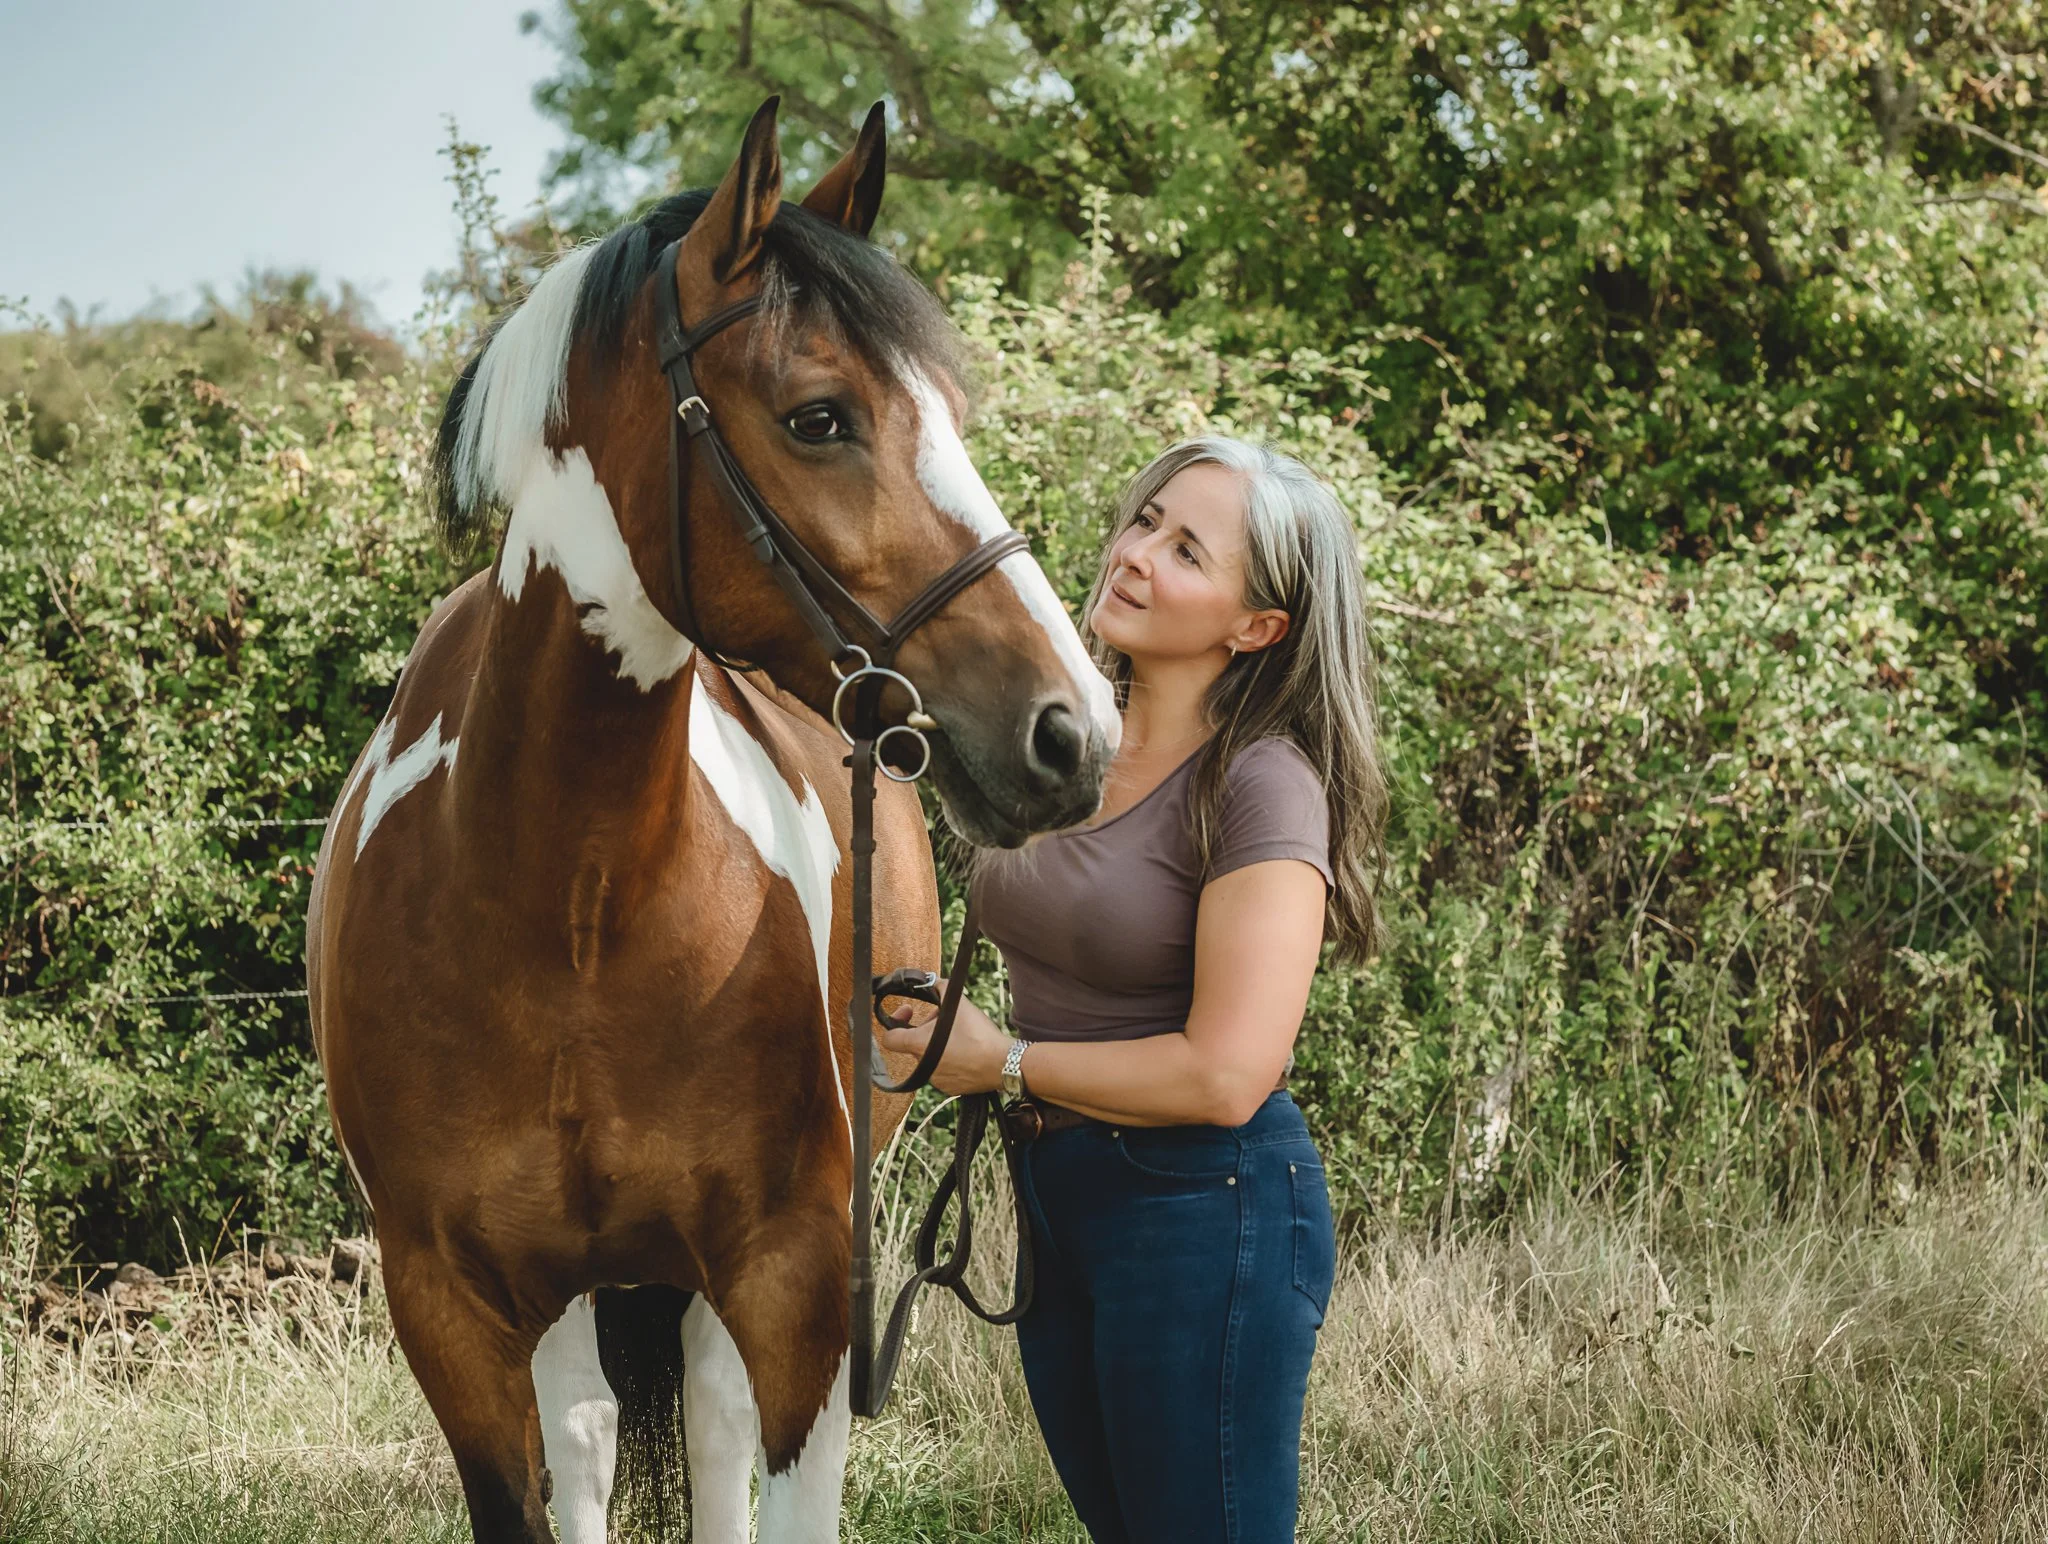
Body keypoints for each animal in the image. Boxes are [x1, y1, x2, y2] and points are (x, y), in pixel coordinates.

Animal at [305, 97, 1118, 1543]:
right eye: (818, 416)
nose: (1072, 731)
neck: (568, 909)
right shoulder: (451, 1312)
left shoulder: (797, 1287)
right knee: (586, 1431)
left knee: (711, 1417)